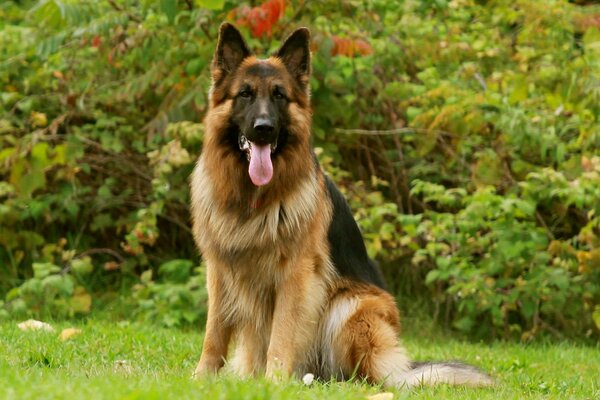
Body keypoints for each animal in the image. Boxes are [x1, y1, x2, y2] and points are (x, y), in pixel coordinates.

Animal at [191, 24, 492, 388]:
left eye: (279, 96)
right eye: (245, 94)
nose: (264, 129)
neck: (252, 199)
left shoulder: (296, 276)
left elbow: (281, 334)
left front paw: (274, 383)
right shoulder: (219, 271)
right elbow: (214, 332)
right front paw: (201, 377)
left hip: (349, 305)